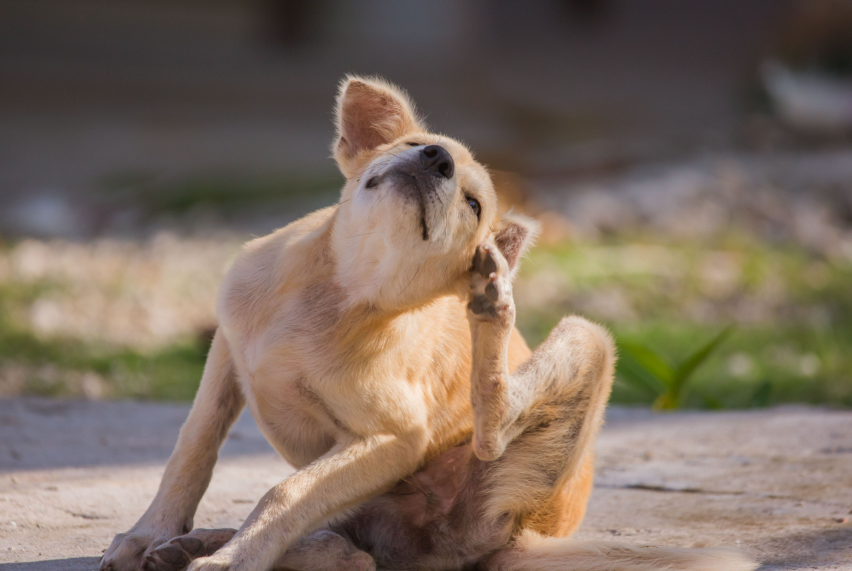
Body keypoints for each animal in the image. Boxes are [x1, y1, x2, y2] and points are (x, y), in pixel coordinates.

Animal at [101, 76, 760, 571]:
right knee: (349, 549)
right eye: (420, 143)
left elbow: (285, 493)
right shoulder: (226, 352)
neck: (338, 292)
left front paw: (235, 559)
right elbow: (192, 449)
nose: (435, 158)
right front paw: (149, 533)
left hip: (581, 347)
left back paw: (493, 305)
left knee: (476, 445)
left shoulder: (393, 439)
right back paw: (195, 542)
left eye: (473, 204)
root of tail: (525, 539)